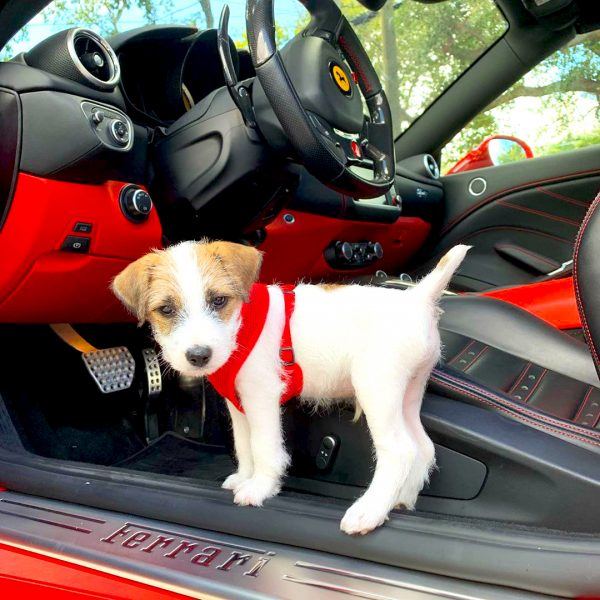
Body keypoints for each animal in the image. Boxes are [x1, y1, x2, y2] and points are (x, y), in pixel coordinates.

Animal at [112, 239, 468, 536]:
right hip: (408, 393)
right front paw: (245, 476)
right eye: (166, 310)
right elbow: (244, 446)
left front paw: (260, 488)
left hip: (376, 388)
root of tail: (417, 297)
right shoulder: (239, 403)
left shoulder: (261, 398)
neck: (240, 327)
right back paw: (401, 501)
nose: (199, 355)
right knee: (424, 447)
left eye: (219, 300)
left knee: (400, 450)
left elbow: (264, 448)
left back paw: (370, 511)